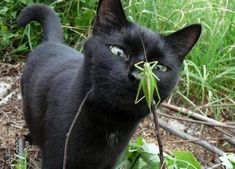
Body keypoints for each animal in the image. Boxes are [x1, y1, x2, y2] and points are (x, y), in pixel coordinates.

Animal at [17, 0, 202, 168]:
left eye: (159, 68)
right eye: (118, 52)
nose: (137, 76)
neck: (111, 122)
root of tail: (53, 42)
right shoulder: (56, 159)